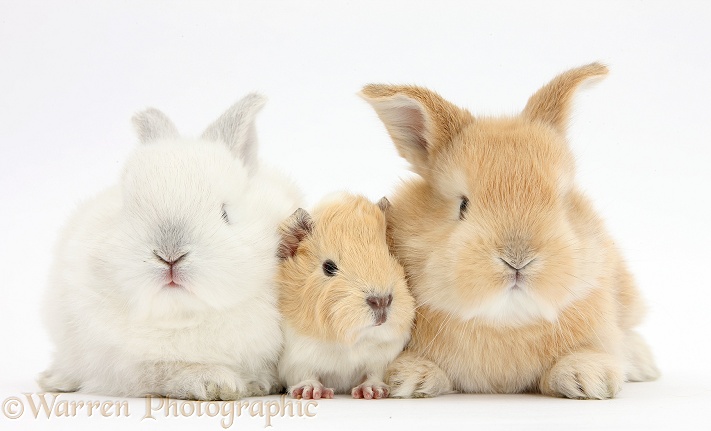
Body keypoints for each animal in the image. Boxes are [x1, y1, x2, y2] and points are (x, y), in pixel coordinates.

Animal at [39, 94, 302, 402]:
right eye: (128, 211)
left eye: (225, 214)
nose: (170, 256)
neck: (183, 316)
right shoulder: (127, 366)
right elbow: (164, 373)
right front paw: (215, 382)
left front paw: (258, 384)